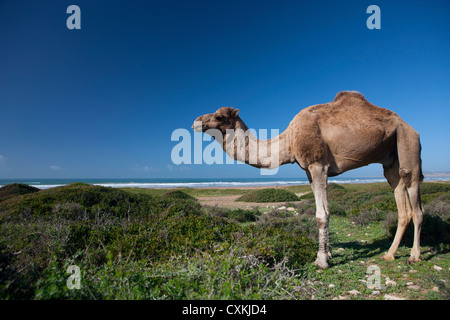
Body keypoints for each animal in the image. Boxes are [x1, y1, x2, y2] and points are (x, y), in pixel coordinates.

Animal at [192, 91, 424, 268]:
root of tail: (410, 126)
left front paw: (321, 261)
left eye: (219, 117)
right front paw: (328, 254)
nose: (196, 121)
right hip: (391, 158)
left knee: (415, 196)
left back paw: (414, 256)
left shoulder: (317, 164)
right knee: (400, 199)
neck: (289, 140)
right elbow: (322, 209)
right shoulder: (307, 171)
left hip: (408, 141)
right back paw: (389, 254)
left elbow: (322, 215)